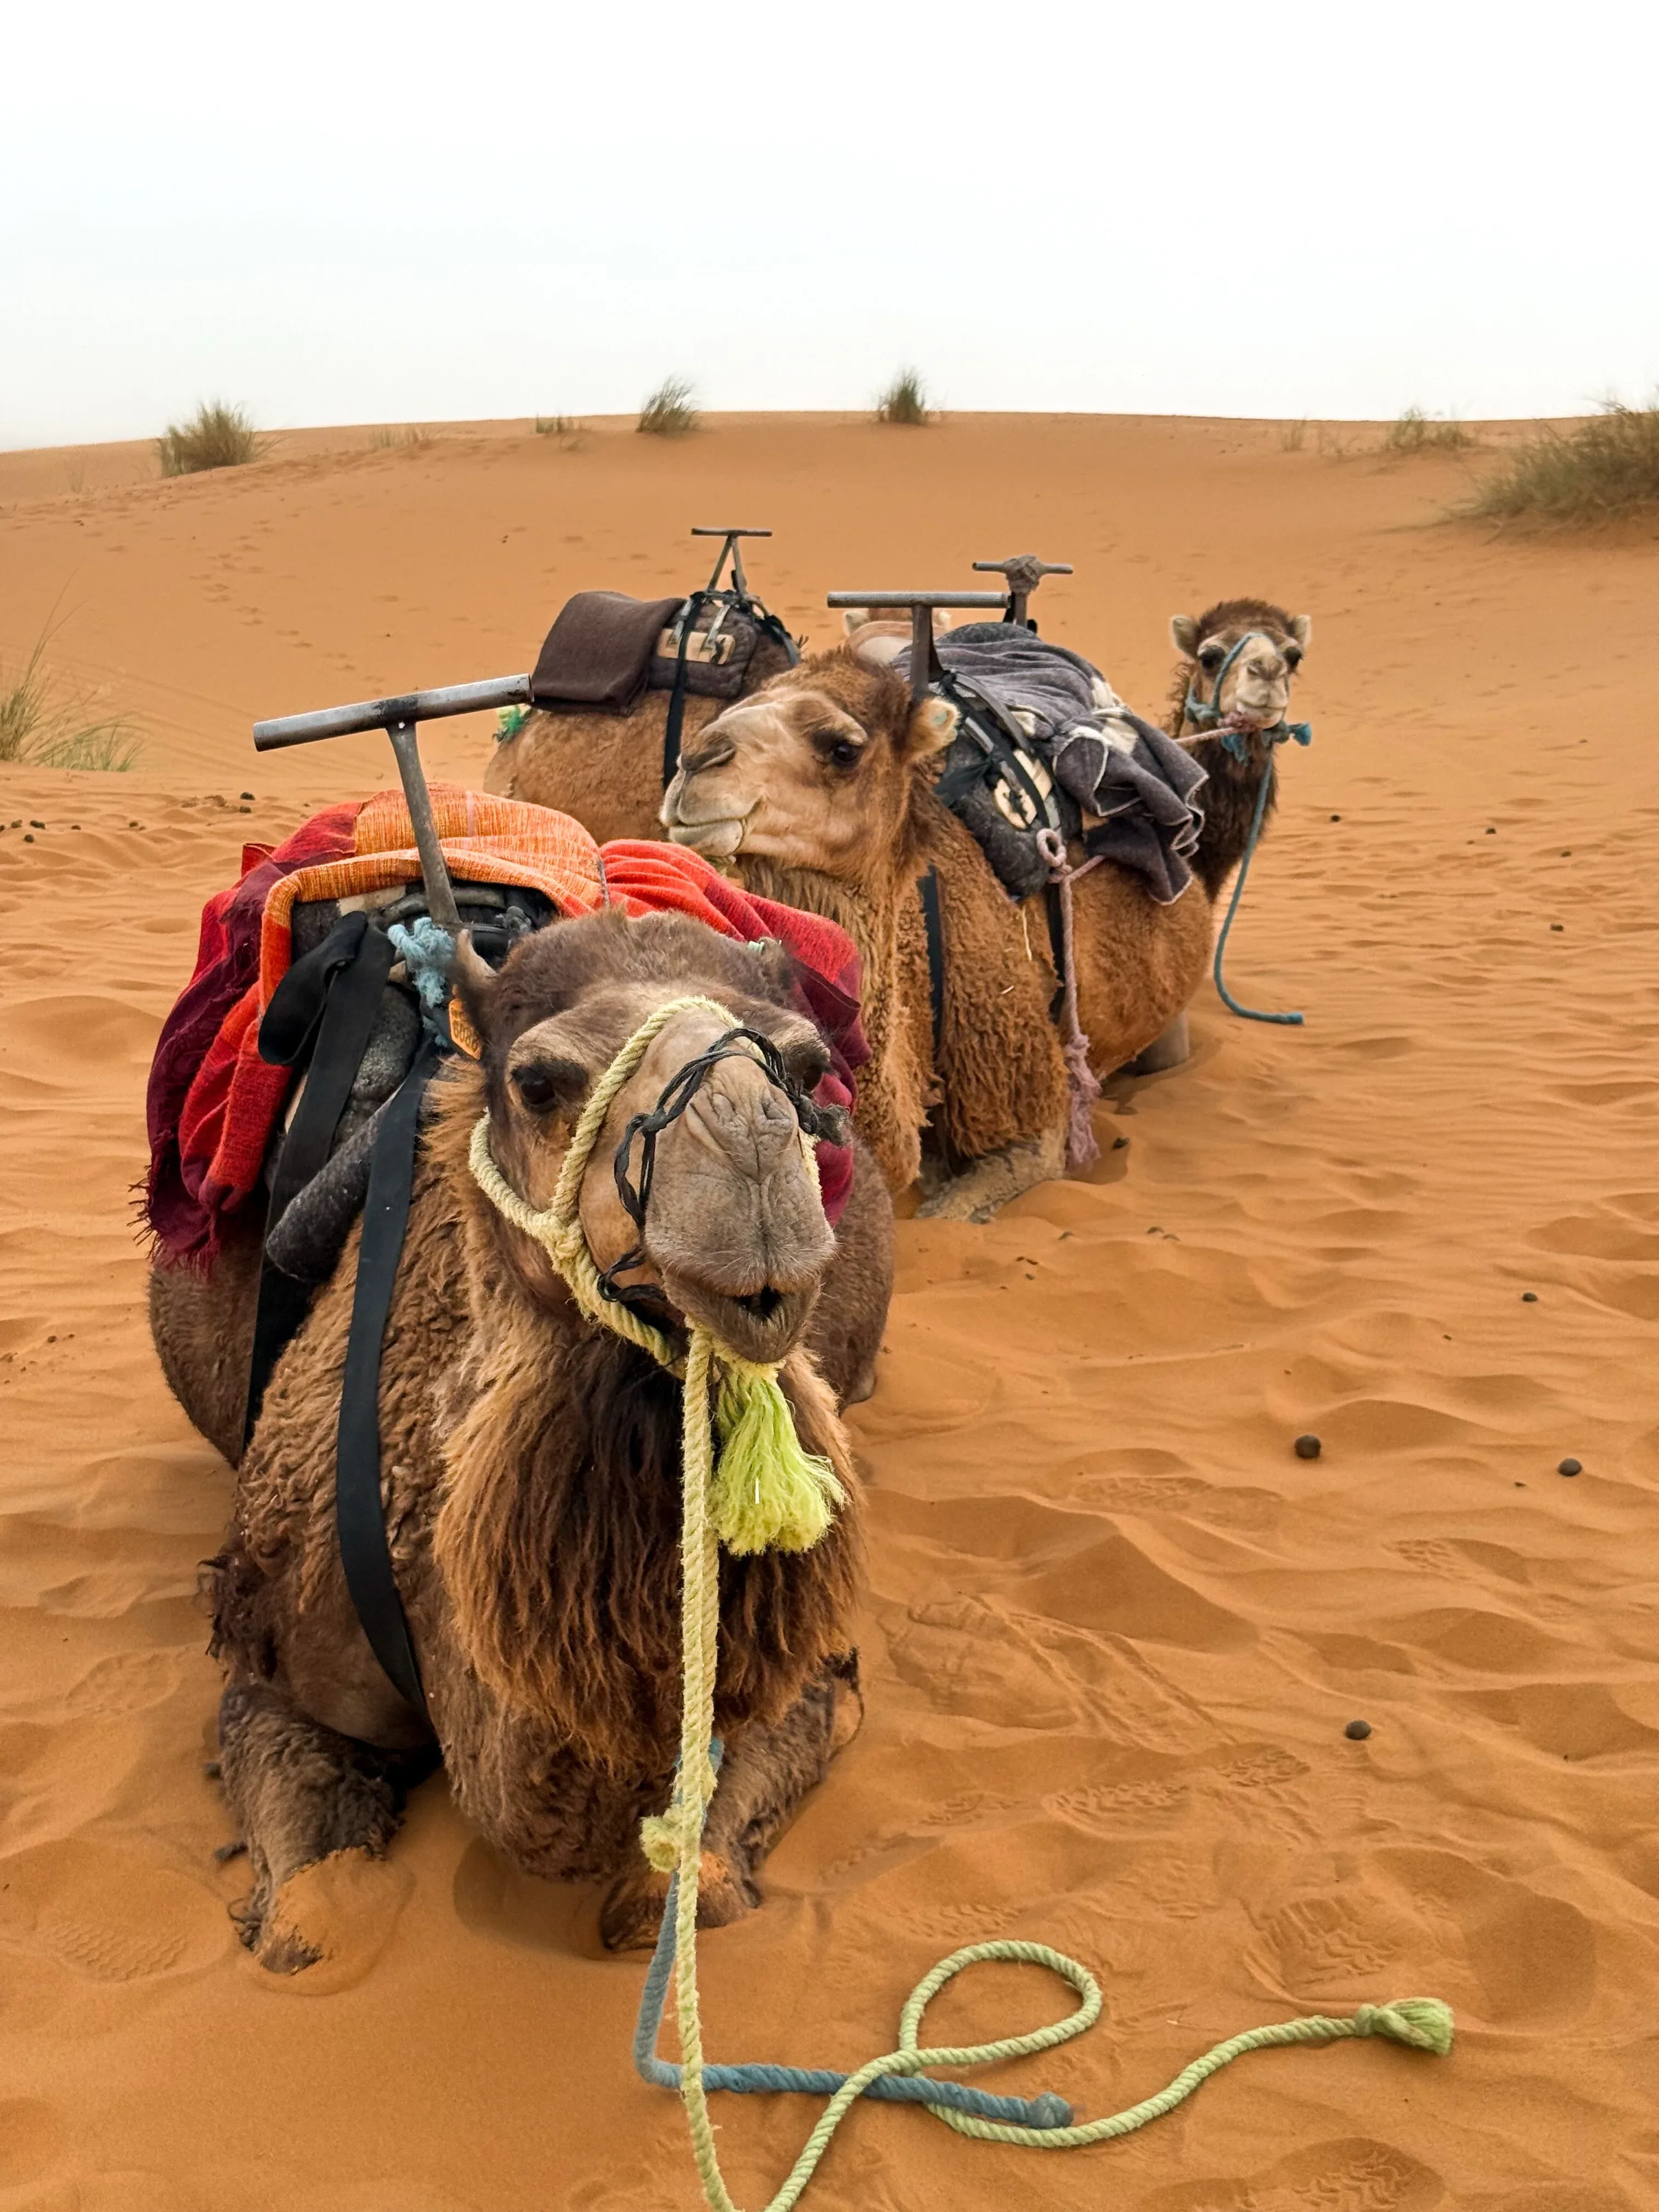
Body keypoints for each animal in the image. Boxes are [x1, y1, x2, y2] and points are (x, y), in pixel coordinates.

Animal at [189, 907, 887, 1969]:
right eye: (537, 1081)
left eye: (808, 1070)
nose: (748, 1153)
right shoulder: (271, 1673)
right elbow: (305, 1927)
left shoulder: (799, 1681)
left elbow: (689, 1895)